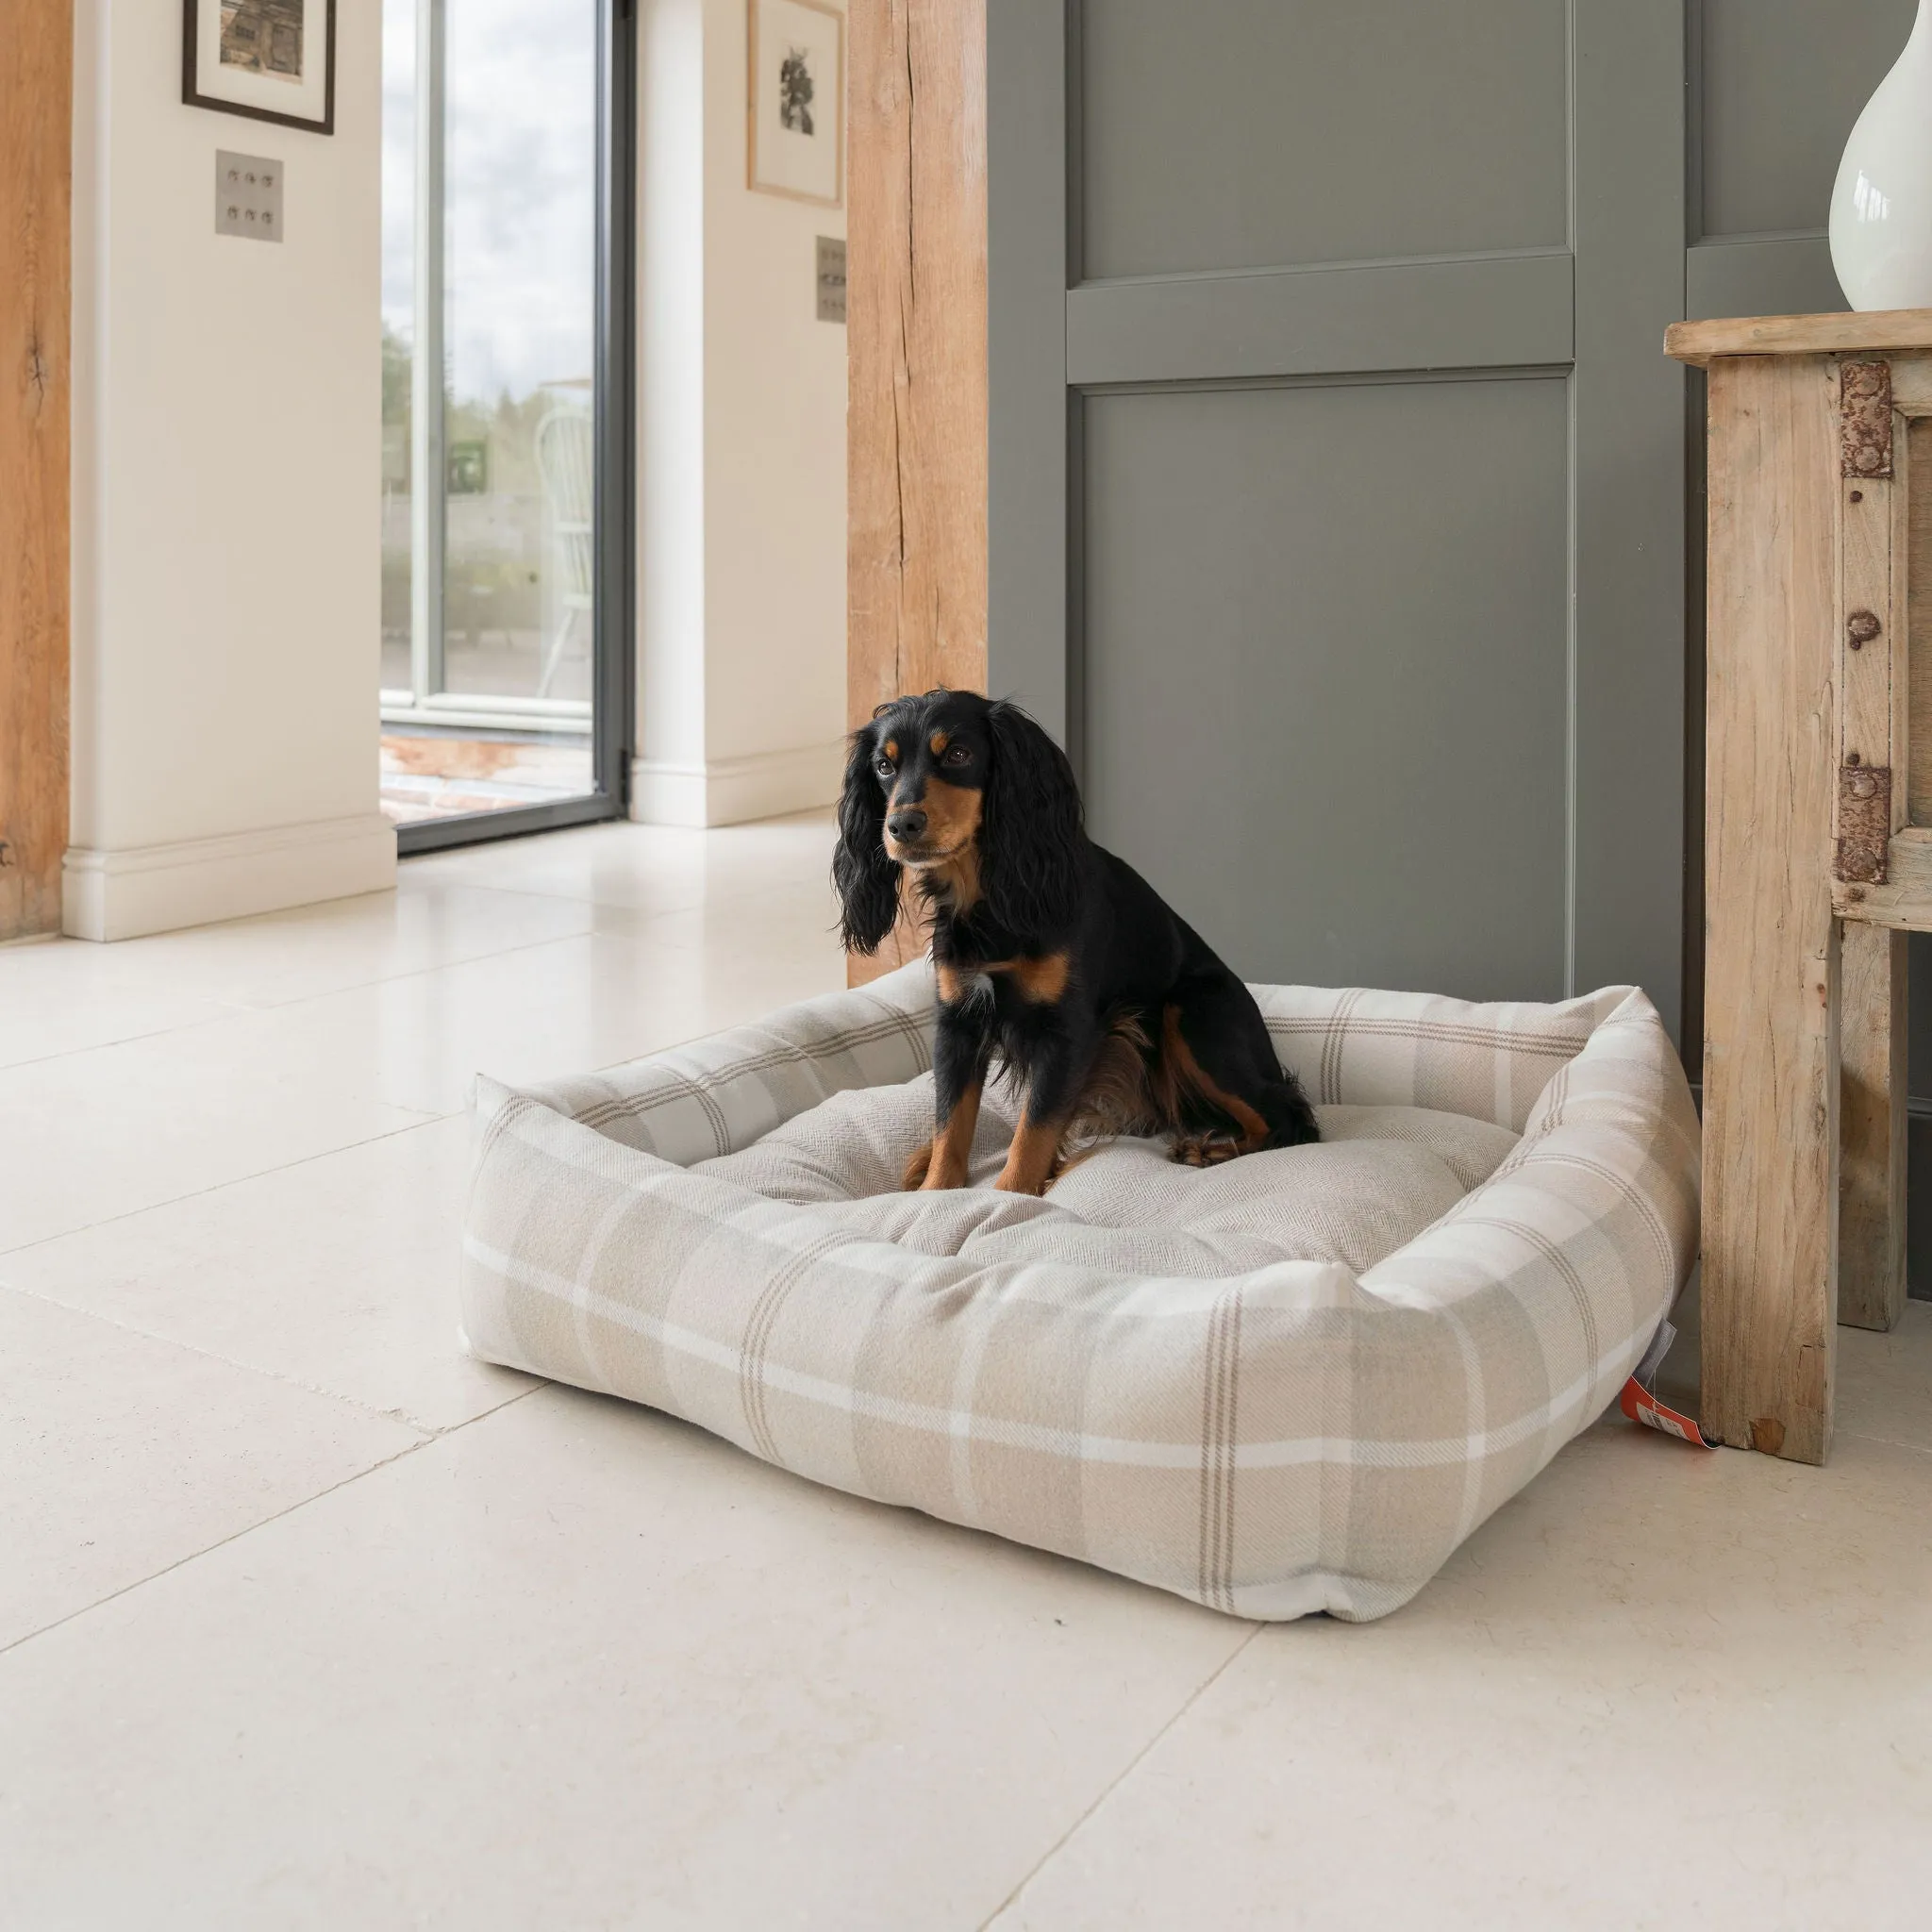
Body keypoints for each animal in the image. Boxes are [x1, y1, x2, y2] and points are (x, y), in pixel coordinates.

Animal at [830, 679, 1313, 1190]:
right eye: (884, 766)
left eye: (959, 754)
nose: (901, 825)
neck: (993, 898)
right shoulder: (959, 1021)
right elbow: (950, 1122)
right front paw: (936, 1189)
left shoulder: (1067, 1031)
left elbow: (1033, 1132)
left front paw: (1012, 1195)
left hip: (1193, 1011)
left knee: (1289, 1118)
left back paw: (1209, 1151)